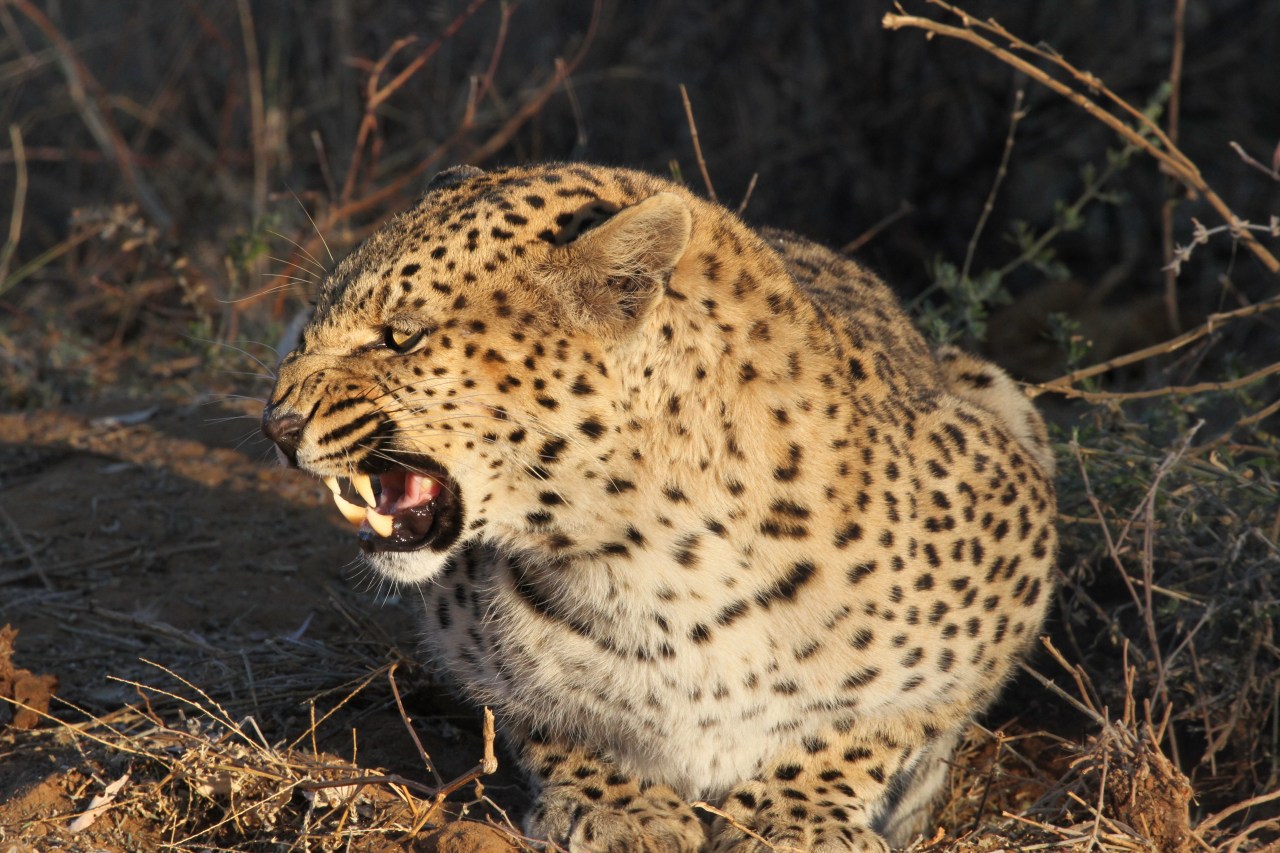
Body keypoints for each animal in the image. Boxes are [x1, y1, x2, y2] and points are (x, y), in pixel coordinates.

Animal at [262, 162, 1057, 852]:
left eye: (402, 337)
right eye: (309, 326)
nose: (276, 426)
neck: (653, 565)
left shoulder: (1010, 553)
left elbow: (875, 723)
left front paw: (793, 818)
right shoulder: (472, 644)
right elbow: (548, 718)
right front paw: (618, 807)